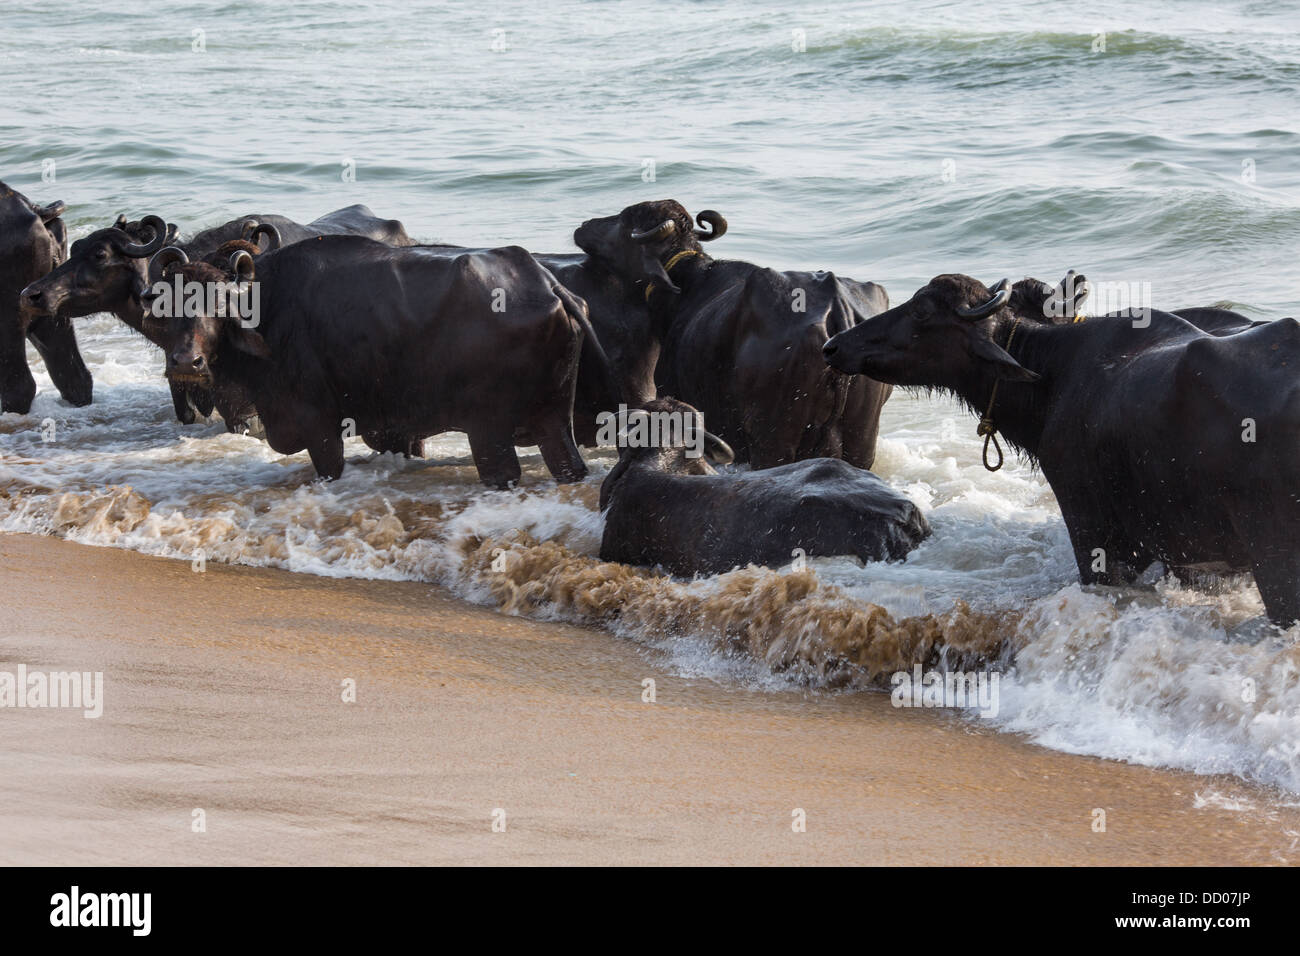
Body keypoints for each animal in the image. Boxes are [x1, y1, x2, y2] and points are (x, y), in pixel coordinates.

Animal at [141, 237, 597, 487]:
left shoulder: (319, 424)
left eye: (218, 307)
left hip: (489, 431)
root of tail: (548, 285)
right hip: (554, 422)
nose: (186, 362)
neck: (269, 309)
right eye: (170, 304)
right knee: (568, 464)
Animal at [573, 200, 893, 470]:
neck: (685, 287)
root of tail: (835, 303)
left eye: (626, 219)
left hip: (774, 438)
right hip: (862, 439)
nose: (583, 226)